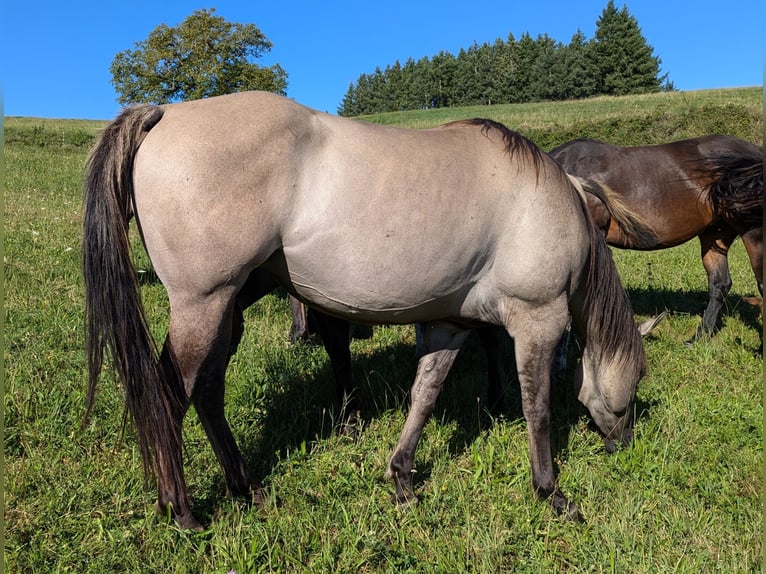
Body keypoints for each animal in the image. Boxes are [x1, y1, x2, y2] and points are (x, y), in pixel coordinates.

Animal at [84, 90, 648, 532]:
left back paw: (245, 489)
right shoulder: (539, 319)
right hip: (203, 305)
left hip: (224, 309)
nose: (625, 444)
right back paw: (181, 510)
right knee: (169, 397)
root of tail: (165, 113)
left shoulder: (451, 324)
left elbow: (424, 395)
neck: (551, 202)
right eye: (638, 379)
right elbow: (538, 408)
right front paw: (551, 492)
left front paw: (402, 478)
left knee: (206, 392)